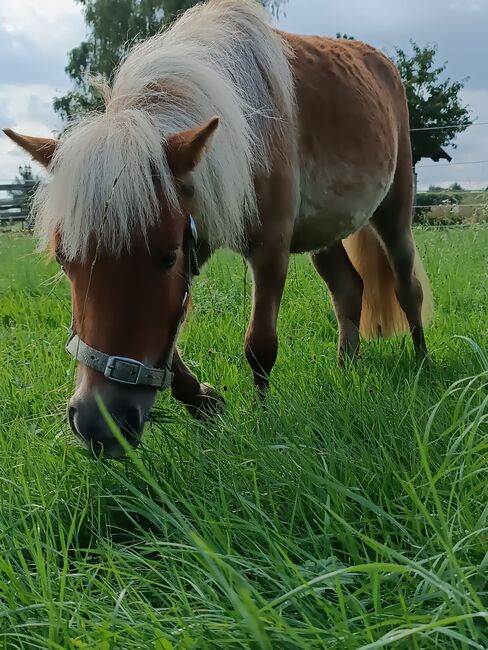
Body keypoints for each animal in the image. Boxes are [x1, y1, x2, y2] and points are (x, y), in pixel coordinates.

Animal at [4, 0, 434, 456]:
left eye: (166, 256)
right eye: (64, 261)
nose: (99, 423)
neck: (246, 125)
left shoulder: (268, 247)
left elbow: (259, 344)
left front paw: (262, 421)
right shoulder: (198, 229)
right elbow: (170, 351)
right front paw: (207, 402)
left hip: (394, 211)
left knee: (407, 288)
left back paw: (423, 363)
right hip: (324, 233)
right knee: (349, 290)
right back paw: (347, 367)